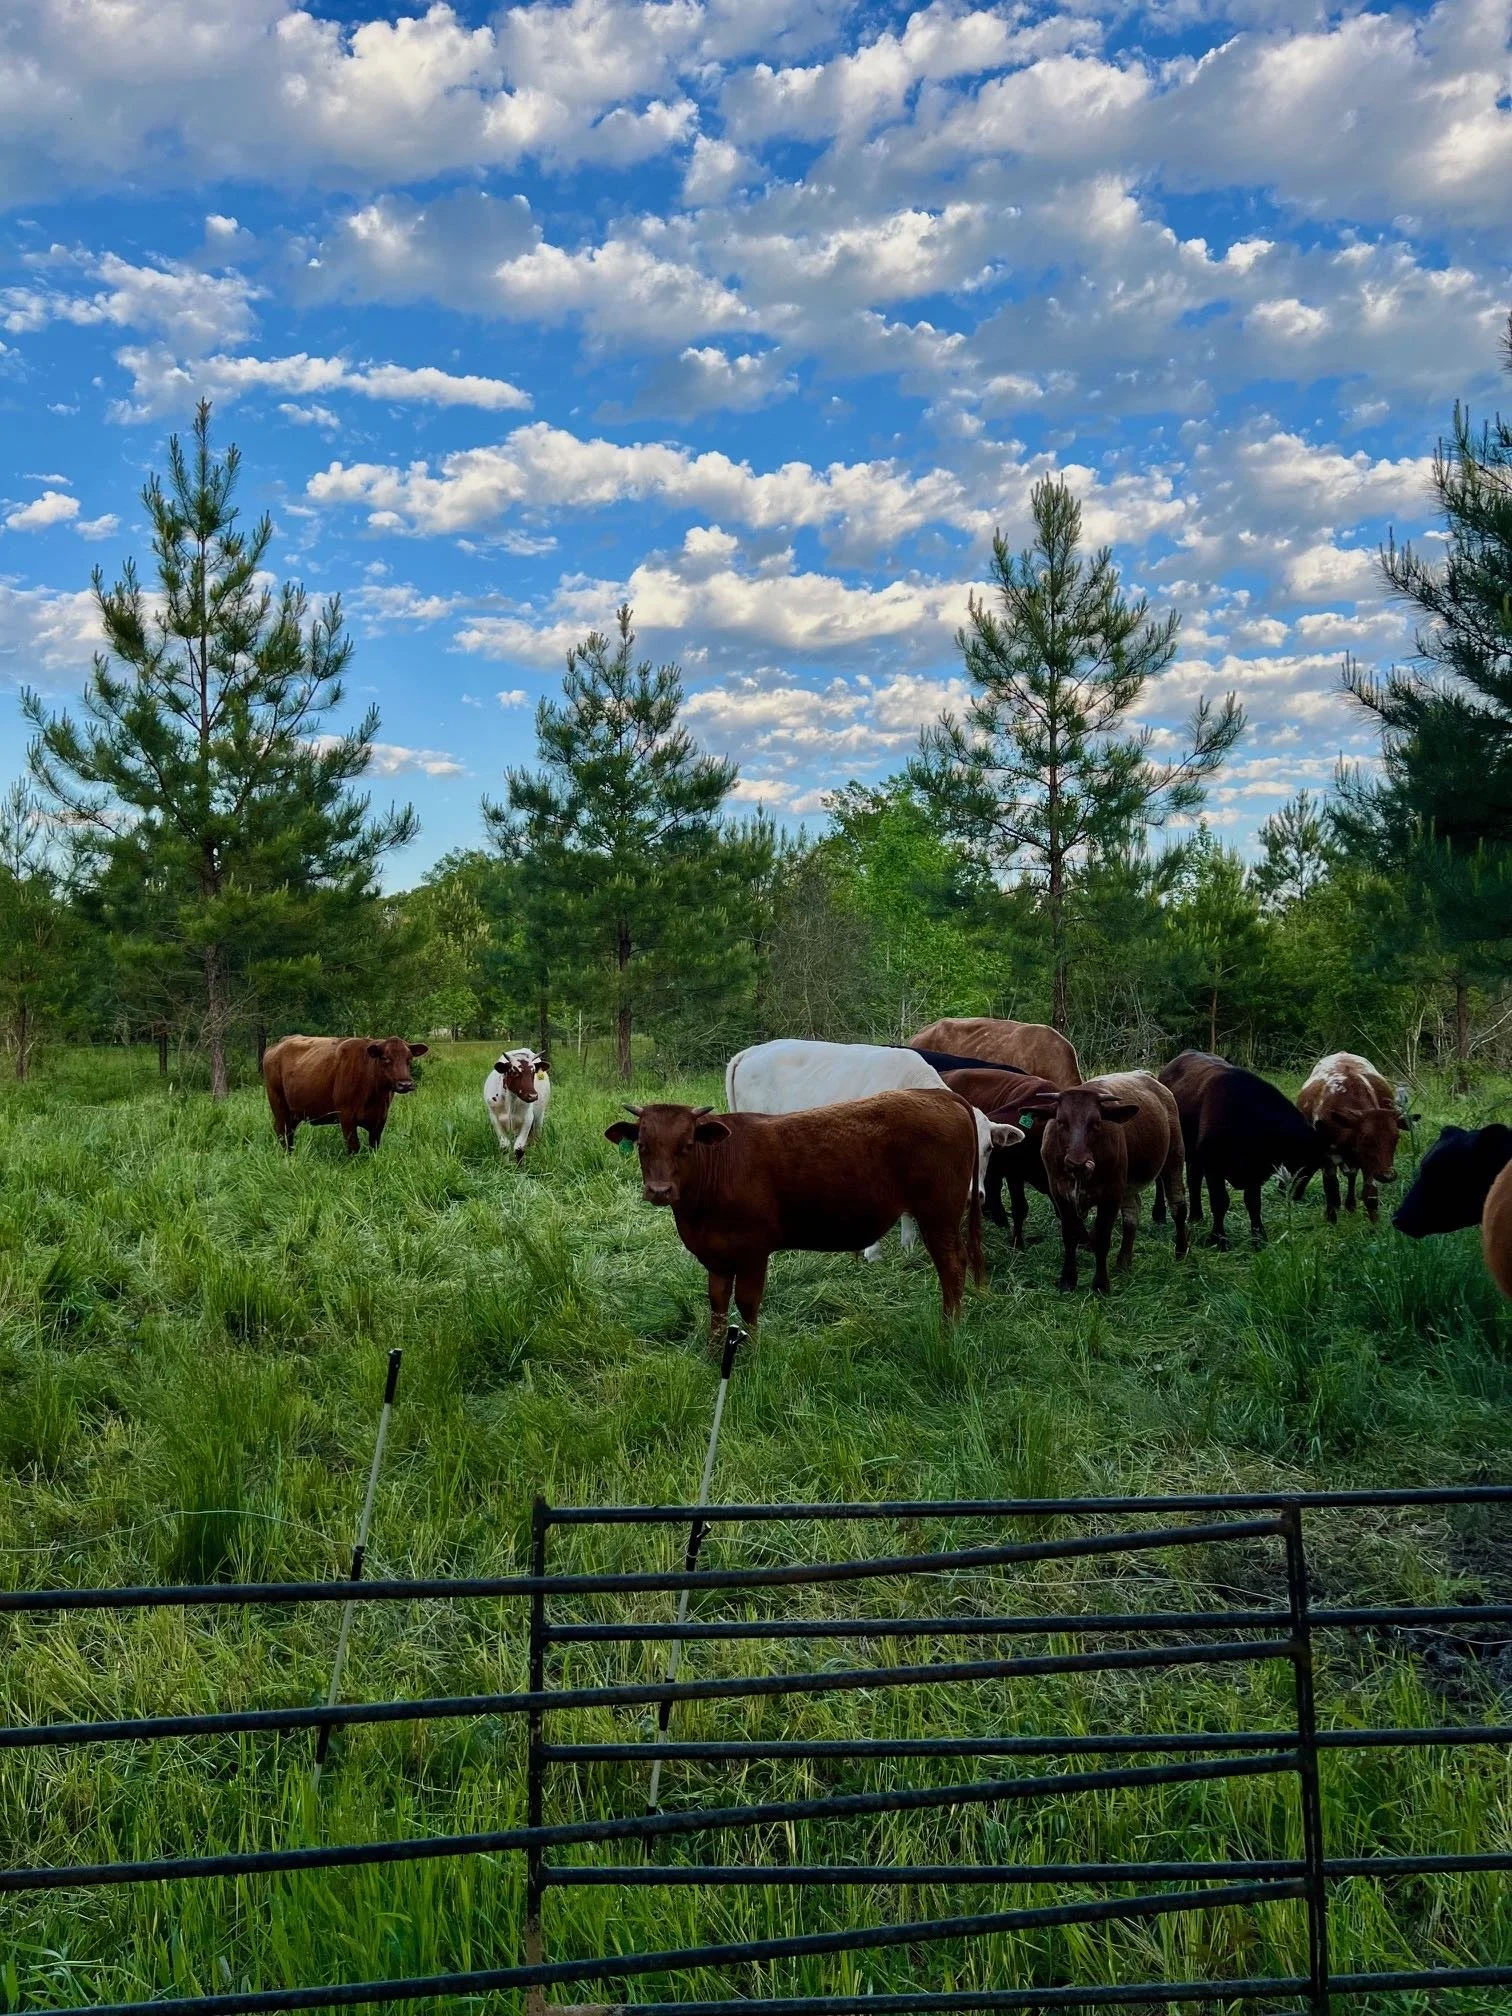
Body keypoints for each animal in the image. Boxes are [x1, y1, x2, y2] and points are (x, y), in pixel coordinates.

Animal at [263, 1035, 428, 1155]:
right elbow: (354, 1145)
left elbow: (373, 1145)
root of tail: (277, 1045)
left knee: (289, 1132)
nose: (405, 1084)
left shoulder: (380, 1119)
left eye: (409, 1059)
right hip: (279, 1104)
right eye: (386, 1058)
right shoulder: (347, 1116)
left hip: (295, 1112)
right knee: (282, 1131)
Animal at [605, 1091, 993, 1342]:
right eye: (642, 1146)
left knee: (951, 1266)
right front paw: (715, 1353)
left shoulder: (753, 1252)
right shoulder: (716, 1255)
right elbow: (717, 1303)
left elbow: (747, 1303)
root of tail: (940, 1096)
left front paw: (752, 1353)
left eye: (686, 1146)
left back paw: (948, 1331)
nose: (659, 1190)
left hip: (938, 1216)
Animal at [1016, 1072, 1186, 1293]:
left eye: (1096, 1122)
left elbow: (1102, 1238)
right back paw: (1123, 1262)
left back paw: (1181, 1251)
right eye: (1061, 1121)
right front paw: (1067, 1279)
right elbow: (1070, 1236)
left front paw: (1100, 1283)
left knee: (1177, 1206)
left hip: (1174, 1158)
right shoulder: (1060, 1194)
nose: (1077, 1162)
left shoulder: (1111, 1195)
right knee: (1132, 1215)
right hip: (1128, 1186)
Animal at [1161, 1060, 1322, 1247]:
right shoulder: (1213, 1166)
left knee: (1194, 1179)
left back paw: (1196, 1217)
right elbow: (1220, 1202)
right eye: (1303, 1163)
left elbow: (1254, 1204)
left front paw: (1259, 1239)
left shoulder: (1255, 1171)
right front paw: (1218, 1239)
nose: (1297, 1195)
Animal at [1295, 1052, 1417, 1223]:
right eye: (1366, 1139)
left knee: (1352, 1176)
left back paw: (1351, 1205)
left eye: (1396, 1138)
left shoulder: (1370, 1163)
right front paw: (1331, 1221)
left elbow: (1370, 1195)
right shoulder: (1327, 1159)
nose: (1387, 1176)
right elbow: (1332, 1192)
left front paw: (1375, 1226)